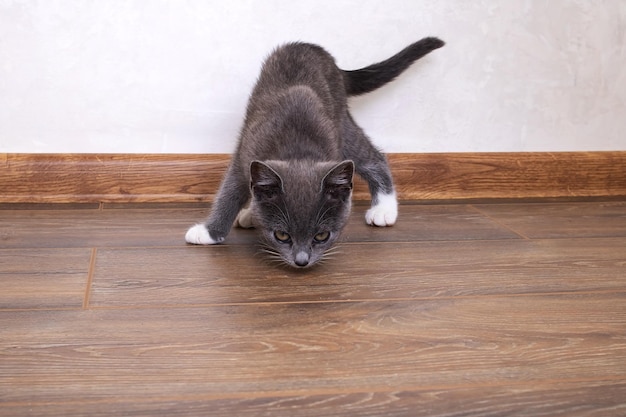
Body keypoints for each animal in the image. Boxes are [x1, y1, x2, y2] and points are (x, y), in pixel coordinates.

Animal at [185, 37, 444, 268]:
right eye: (282, 235)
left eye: (321, 236)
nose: (302, 261)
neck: (296, 151)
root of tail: (321, 53)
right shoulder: (246, 152)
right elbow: (229, 191)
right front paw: (211, 231)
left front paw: (206, 232)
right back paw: (251, 213)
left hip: (340, 124)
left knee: (373, 157)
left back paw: (384, 209)